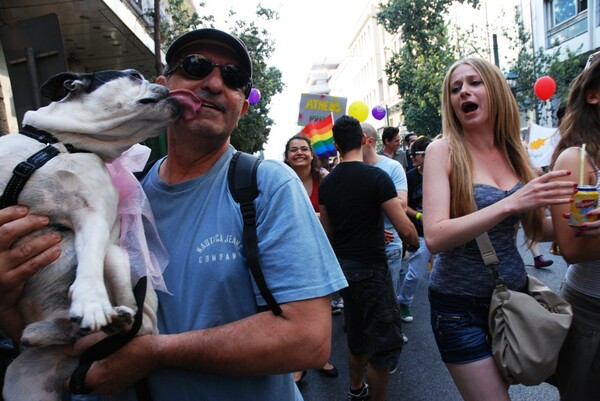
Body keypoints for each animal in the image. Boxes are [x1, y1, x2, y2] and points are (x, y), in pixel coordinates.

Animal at [0, 69, 180, 400]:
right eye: (134, 76)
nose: (162, 80)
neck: (63, 144)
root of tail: (68, 346)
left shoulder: (92, 216)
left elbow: (89, 265)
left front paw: (91, 301)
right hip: (24, 382)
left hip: (118, 258)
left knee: (143, 326)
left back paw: (117, 319)